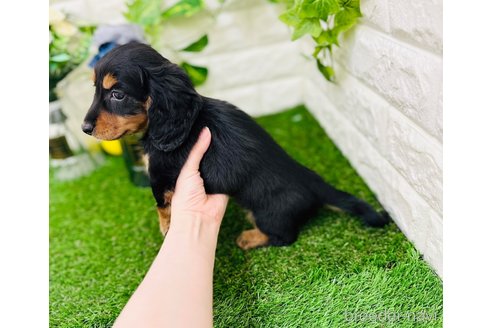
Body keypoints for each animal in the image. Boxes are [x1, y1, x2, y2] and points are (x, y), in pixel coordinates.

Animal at [82, 42, 390, 250]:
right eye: (95, 89)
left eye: (117, 94)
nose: (85, 128)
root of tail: (314, 184)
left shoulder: (161, 174)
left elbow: (161, 203)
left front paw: (166, 228)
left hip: (266, 212)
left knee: (285, 237)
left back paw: (249, 237)